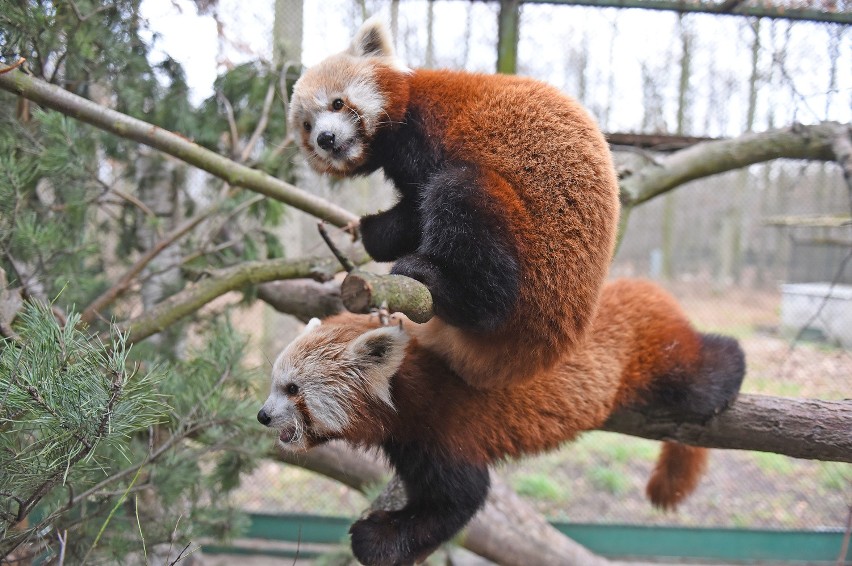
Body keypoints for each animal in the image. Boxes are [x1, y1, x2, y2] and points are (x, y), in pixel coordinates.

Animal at [256, 280, 744, 566]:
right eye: (275, 383)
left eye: (293, 390)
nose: (263, 415)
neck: (406, 391)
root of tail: (644, 284)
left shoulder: (443, 426)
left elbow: (458, 499)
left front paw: (379, 539)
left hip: (660, 356)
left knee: (705, 375)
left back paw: (733, 364)